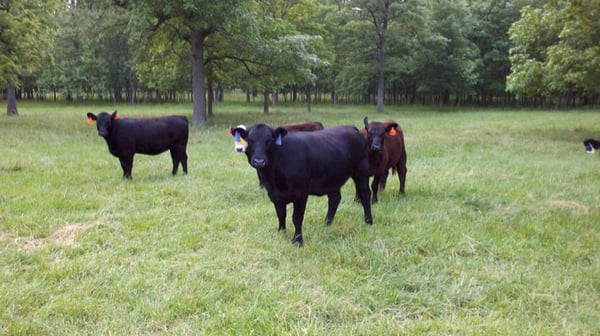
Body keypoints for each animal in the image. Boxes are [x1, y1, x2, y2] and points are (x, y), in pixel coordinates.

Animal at [232, 122, 372, 245]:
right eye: (250, 140)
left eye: (269, 140)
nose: (259, 161)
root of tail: (352, 128)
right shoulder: (274, 194)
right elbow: (280, 214)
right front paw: (281, 233)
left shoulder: (300, 193)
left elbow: (297, 218)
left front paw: (298, 241)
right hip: (333, 178)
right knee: (334, 199)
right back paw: (327, 223)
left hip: (361, 172)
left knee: (365, 194)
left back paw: (369, 222)